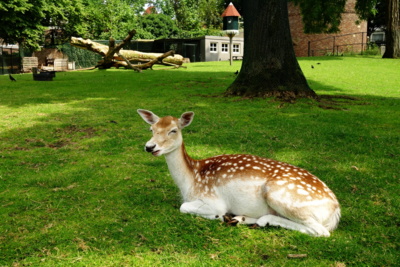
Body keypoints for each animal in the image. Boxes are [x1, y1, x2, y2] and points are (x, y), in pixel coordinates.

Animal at [138, 110, 340, 238]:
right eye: (151, 129)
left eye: (173, 130)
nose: (150, 147)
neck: (190, 180)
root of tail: (336, 210)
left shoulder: (213, 200)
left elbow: (184, 207)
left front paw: (219, 216)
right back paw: (240, 219)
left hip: (281, 196)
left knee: (321, 231)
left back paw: (256, 219)